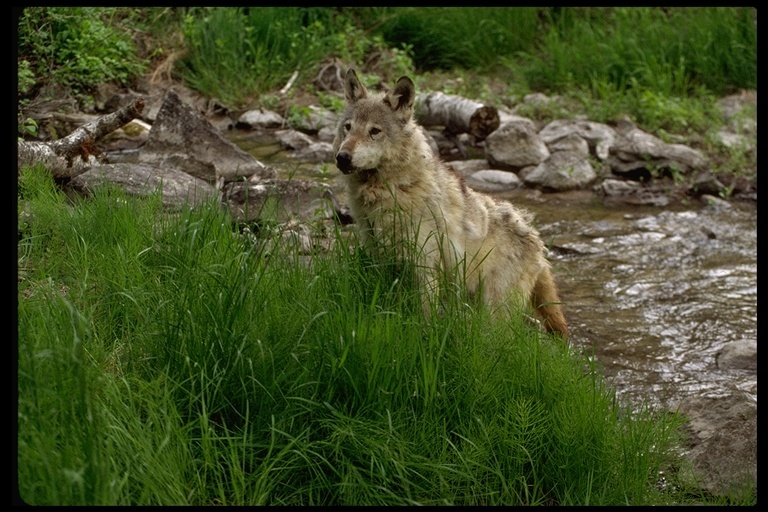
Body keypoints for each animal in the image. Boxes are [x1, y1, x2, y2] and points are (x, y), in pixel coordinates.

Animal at [332, 69, 568, 340]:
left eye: (374, 131)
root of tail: (536, 240)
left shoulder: (425, 265)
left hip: (495, 308)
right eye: (348, 128)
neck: (396, 188)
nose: (342, 157)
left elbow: (425, 312)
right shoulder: (381, 260)